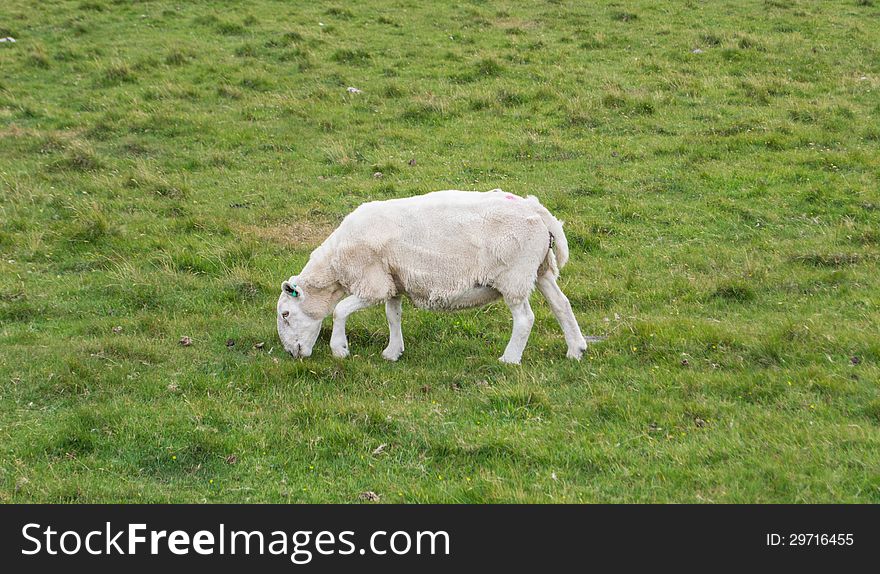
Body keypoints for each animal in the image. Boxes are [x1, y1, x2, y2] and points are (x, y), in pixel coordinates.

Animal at [276, 191, 592, 366]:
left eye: (285, 314)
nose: (293, 353)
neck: (334, 266)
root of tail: (537, 211)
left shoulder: (372, 281)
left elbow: (340, 310)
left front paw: (339, 349)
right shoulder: (394, 281)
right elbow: (393, 316)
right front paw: (393, 352)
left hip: (513, 272)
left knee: (525, 318)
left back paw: (510, 358)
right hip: (540, 269)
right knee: (561, 304)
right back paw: (575, 349)